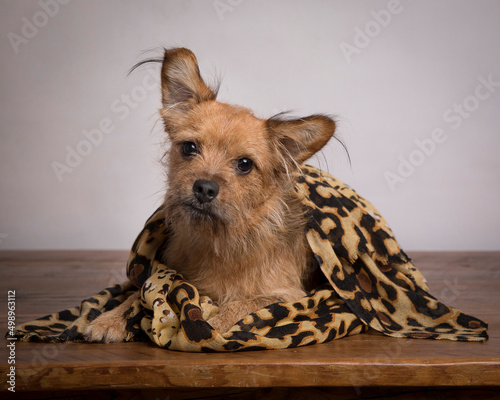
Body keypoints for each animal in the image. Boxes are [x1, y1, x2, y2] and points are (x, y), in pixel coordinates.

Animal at [86, 47, 336, 340]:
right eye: (189, 148)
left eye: (245, 164)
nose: (204, 188)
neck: (219, 241)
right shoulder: (167, 274)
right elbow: (139, 291)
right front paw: (110, 319)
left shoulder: (290, 295)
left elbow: (243, 304)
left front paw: (210, 327)